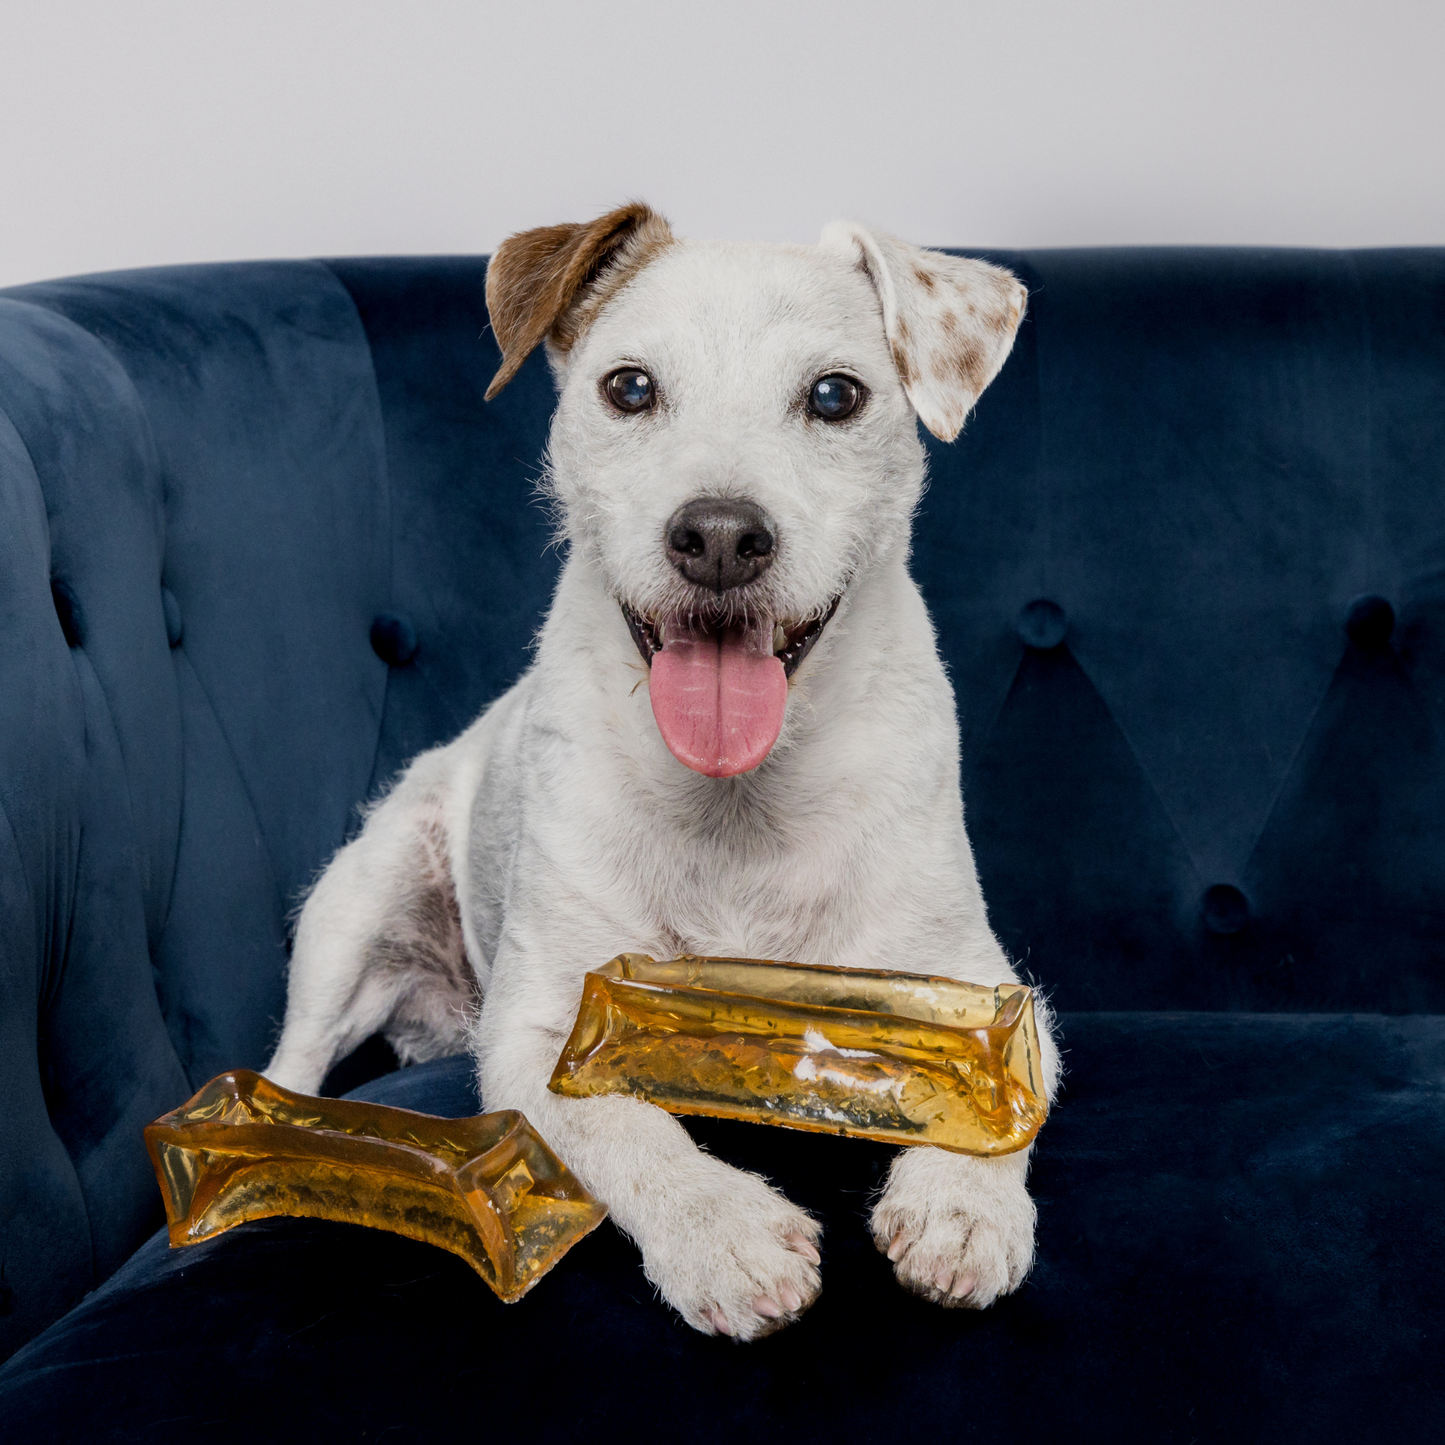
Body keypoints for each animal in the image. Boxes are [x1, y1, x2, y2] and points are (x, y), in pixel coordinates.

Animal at [268, 203, 1063, 1340]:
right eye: (629, 387)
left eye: (836, 395)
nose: (720, 535)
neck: (738, 798)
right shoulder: (538, 1027)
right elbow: (626, 1126)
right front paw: (721, 1233)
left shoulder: (979, 977)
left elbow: (1003, 1094)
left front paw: (959, 1207)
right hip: (357, 905)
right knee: (291, 1058)